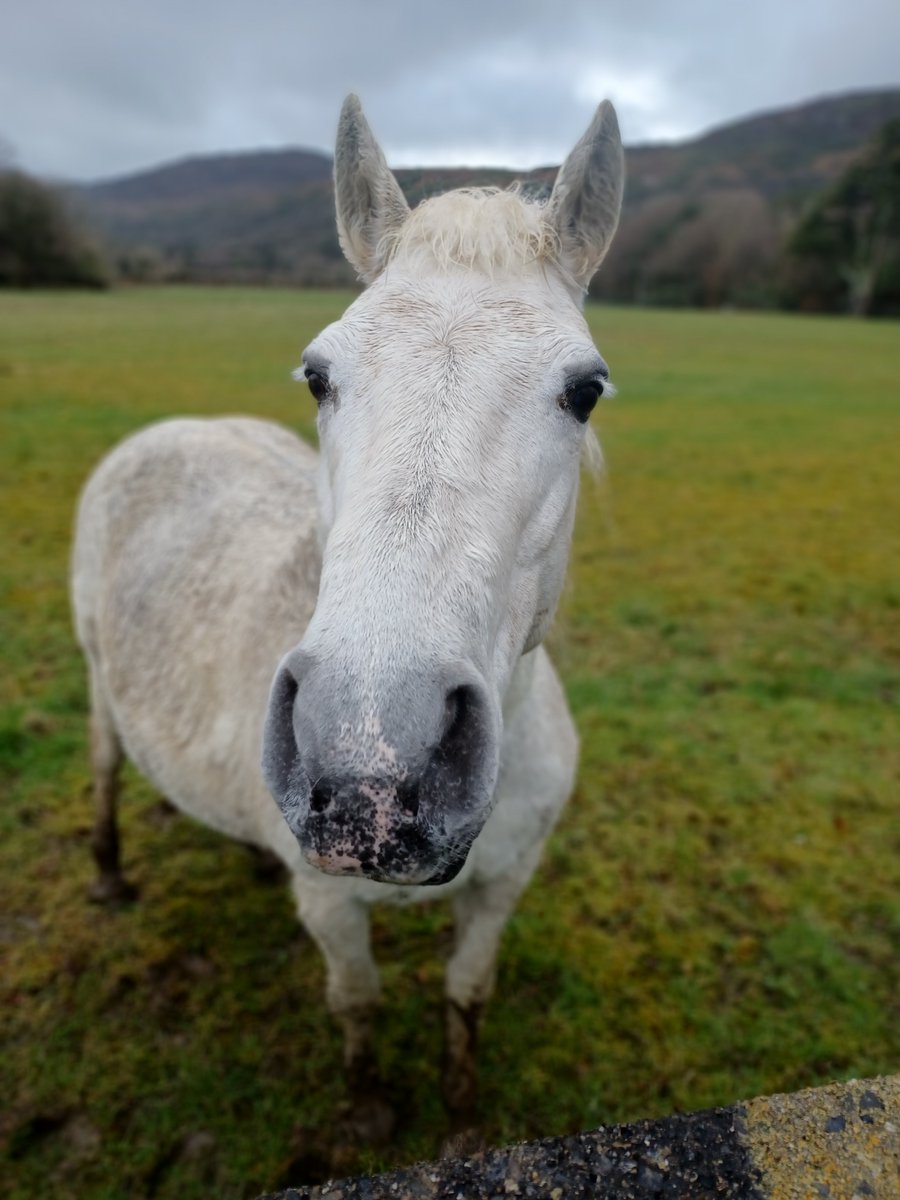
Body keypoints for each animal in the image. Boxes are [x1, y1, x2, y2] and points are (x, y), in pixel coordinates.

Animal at [70, 93, 624, 1142]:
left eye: (586, 389)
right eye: (317, 374)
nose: (372, 771)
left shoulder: (503, 886)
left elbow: (465, 996)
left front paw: (461, 1119)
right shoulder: (332, 910)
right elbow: (357, 1001)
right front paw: (368, 1113)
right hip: (97, 685)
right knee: (108, 767)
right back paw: (111, 876)